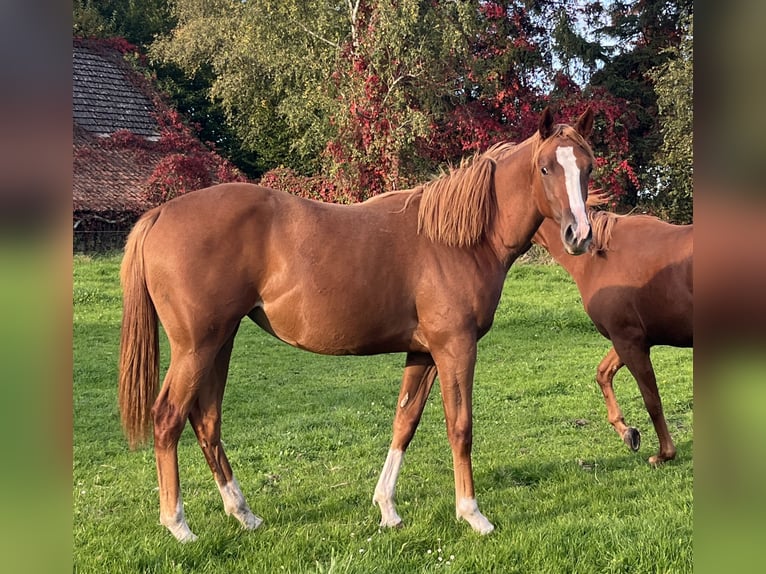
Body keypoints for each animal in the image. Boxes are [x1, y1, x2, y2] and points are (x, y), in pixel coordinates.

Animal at [118, 107, 596, 542]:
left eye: (588, 167)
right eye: (546, 167)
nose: (580, 235)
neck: (456, 240)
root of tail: (160, 214)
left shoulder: (423, 352)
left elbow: (405, 422)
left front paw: (387, 508)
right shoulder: (455, 347)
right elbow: (460, 427)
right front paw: (472, 514)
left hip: (221, 342)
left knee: (207, 421)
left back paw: (244, 514)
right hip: (197, 346)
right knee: (168, 418)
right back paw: (179, 526)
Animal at [532, 197, 692, 465]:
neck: (597, 260)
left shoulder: (628, 341)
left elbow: (652, 400)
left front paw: (664, 454)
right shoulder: (630, 340)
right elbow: (603, 374)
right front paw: (628, 433)